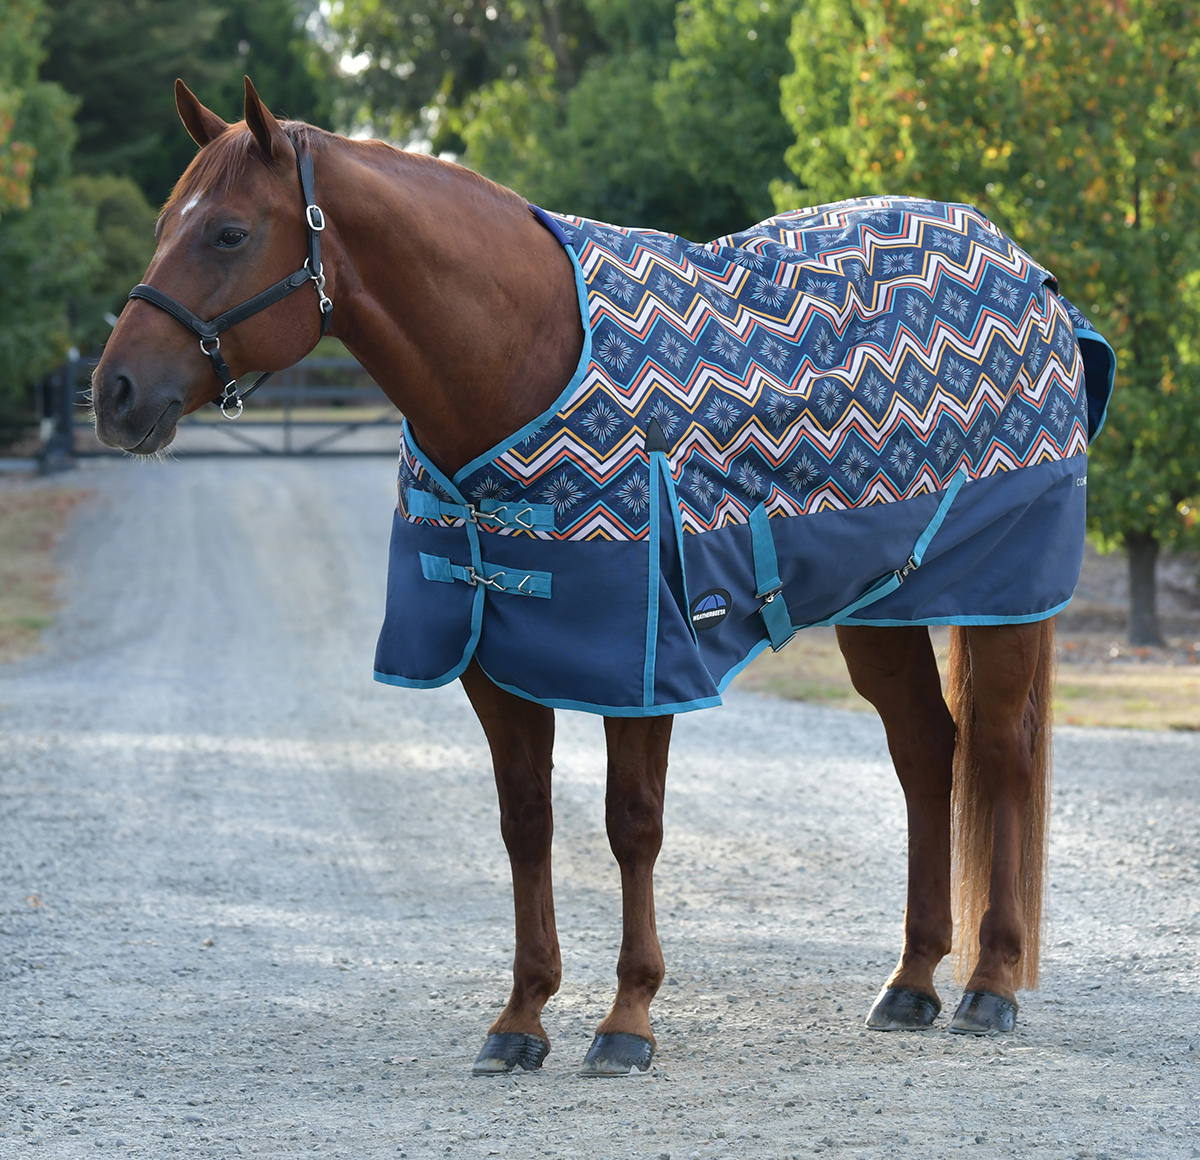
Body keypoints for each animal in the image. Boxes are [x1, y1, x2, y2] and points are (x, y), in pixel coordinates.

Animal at [92, 78, 1107, 1076]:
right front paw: (521, 1017)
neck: (521, 358)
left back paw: (991, 986)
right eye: (164, 224)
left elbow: (632, 825)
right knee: (927, 754)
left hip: (1004, 602)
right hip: (880, 612)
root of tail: (1037, 281)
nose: (114, 395)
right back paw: (913, 982)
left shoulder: (644, 666)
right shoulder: (493, 660)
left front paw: (627, 1020)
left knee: (1000, 755)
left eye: (228, 234)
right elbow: (528, 823)